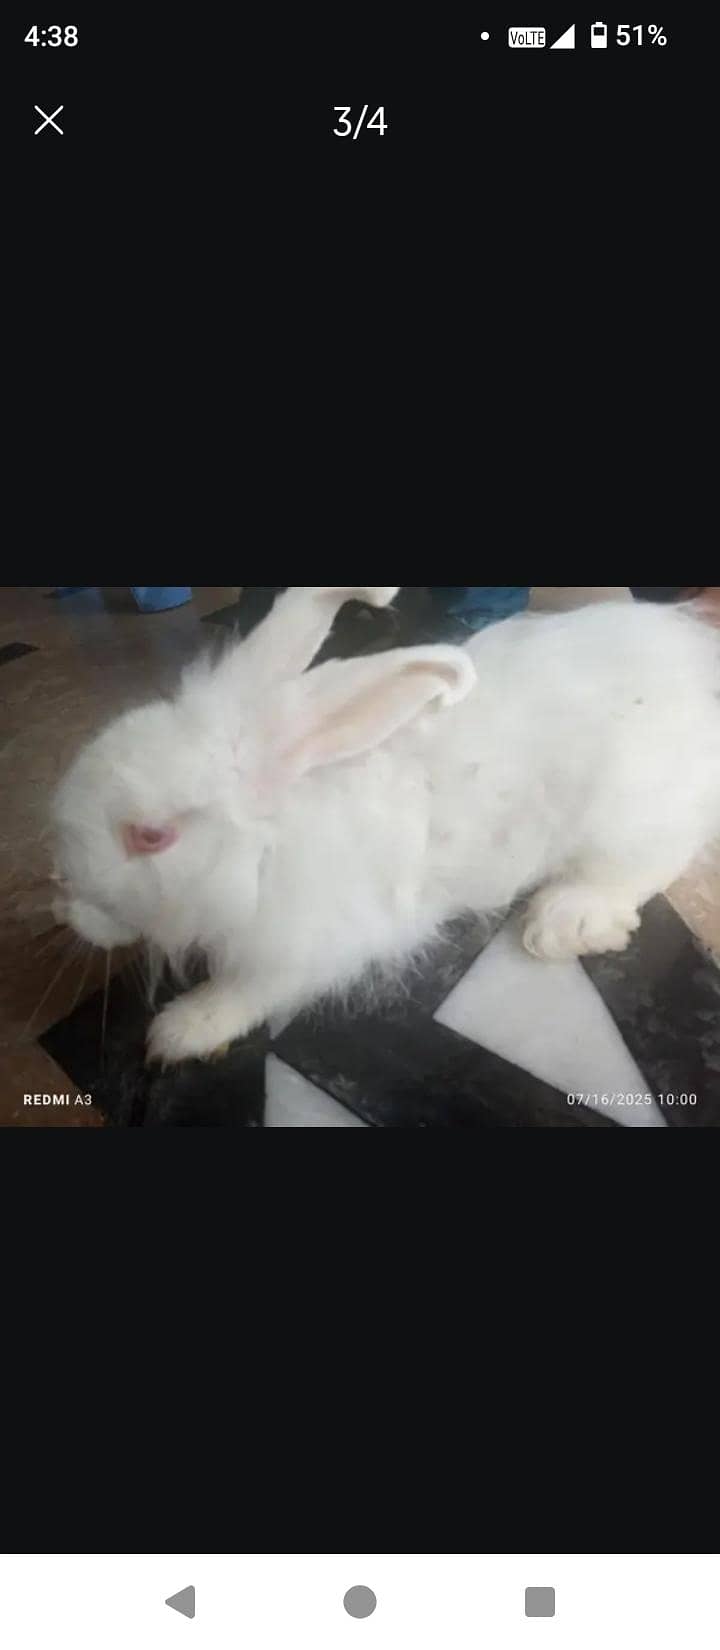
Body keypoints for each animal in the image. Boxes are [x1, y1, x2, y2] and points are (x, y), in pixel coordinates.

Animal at [51, 586, 720, 1067]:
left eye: (151, 837)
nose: (68, 909)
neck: (272, 841)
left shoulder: (310, 944)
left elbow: (249, 989)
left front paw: (182, 1030)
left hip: (631, 819)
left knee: (643, 867)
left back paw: (566, 920)